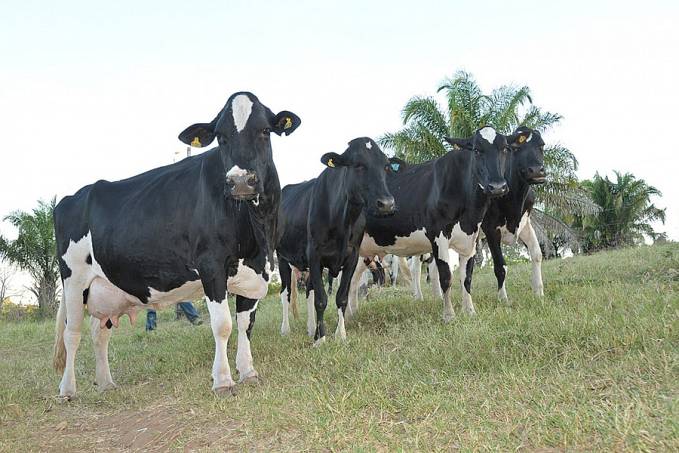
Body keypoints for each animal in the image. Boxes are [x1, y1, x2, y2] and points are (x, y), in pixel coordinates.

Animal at [54, 93, 304, 398]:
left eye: (266, 131)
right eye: (220, 137)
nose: (240, 181)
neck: (257, 231)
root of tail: (72, 197)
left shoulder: (258, 270)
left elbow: (245, 324)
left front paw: (248, 372)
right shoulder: (211, 264)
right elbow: (223, 325)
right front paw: (223, 380)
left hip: (106, 286)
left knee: (99, 331)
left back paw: (105, 382)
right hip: (74, 279)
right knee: (72, 333)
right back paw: (67, 389)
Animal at [276, 139, 404, 346]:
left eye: (386, 166)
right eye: (358, 164)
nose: (386, 204)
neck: (343, 220)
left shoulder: (351, 255)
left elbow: (341, 297)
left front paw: (340, 334)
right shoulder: (314, 254)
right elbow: (321, 299)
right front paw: (320, 339)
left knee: (309, 291)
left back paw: (310, 328)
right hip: (281, 257)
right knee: (285, 293)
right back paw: (286, 330)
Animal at [350, 125, 532, 320]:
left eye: (505, 149)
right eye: (476, 150)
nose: (497, 186)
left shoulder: (471, 237)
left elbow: (467, 277)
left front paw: (470, 311)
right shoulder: (438, 235)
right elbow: (446, 276)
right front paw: (449, 315)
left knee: (353, 279)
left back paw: (352, 313)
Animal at [480, 125, 548, 300]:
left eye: (542, 145)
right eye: (515, 148)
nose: (536, 171)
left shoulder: (524, 223)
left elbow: (537, 254)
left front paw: (538, 292)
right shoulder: (490, 228)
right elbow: (500, 265)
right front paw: (502, 299)